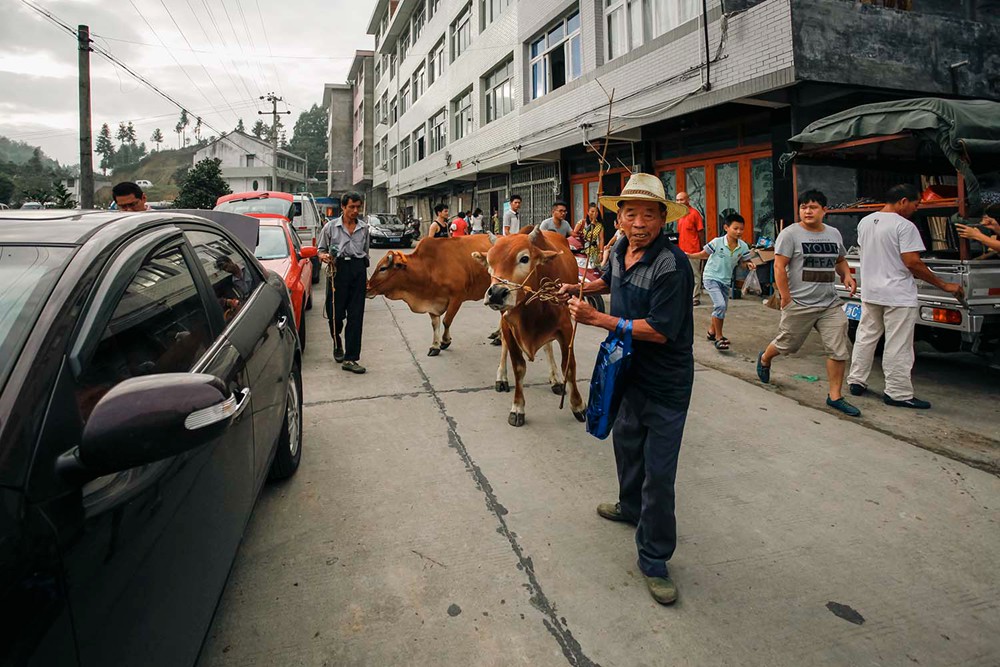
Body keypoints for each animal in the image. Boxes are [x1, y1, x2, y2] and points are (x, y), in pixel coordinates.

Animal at [366, 235, 494, 354]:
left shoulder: (457, 297)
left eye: (383, 268)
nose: (367, 288)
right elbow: (435, 324)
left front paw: (445, 341)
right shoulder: (432, 300)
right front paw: (435, 346)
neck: (430, 267)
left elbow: (446, 321)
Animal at [474, 227, 584, 426]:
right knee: (504, 344)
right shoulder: (509, 326)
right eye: (489, 262)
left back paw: (555, 379)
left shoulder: (566, 328)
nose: (496, 293)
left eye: (524, 258)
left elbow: (569, 366)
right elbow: (518, 367)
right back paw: (501, 377)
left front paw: (578, 405)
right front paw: (517, 408)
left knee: (548, 347)